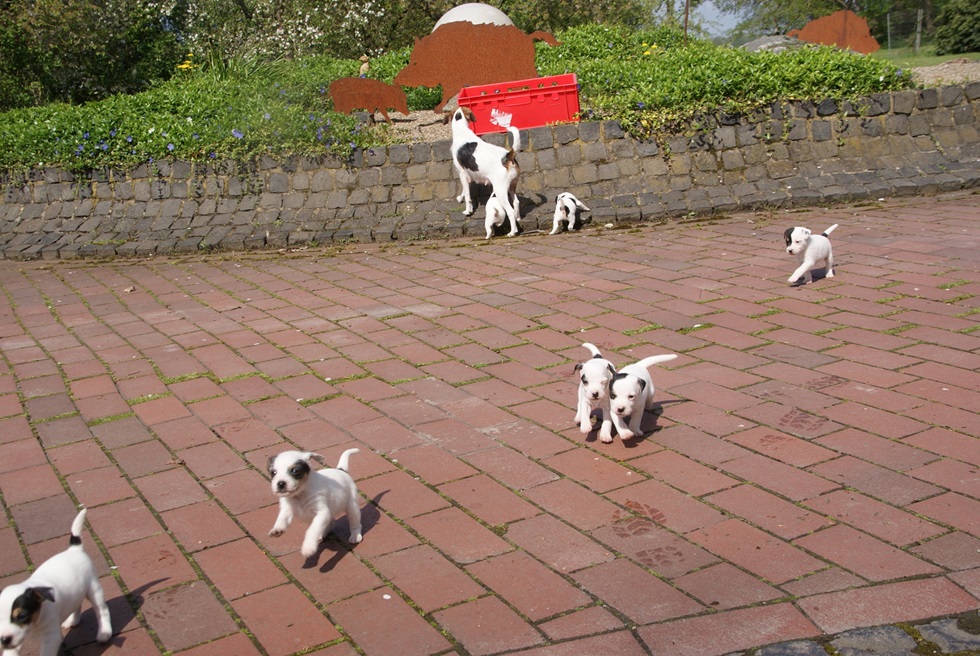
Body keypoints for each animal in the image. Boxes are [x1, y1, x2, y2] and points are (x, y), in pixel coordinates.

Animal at [0, 508, 112, 656]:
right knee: (77, 603)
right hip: (78, 590)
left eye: (22, 616)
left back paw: (104, 633)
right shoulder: (16, 639)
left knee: (102, 609)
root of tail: (74, 549)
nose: (4, 640)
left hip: (94, 589)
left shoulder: (51, 637)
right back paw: (72, 620)